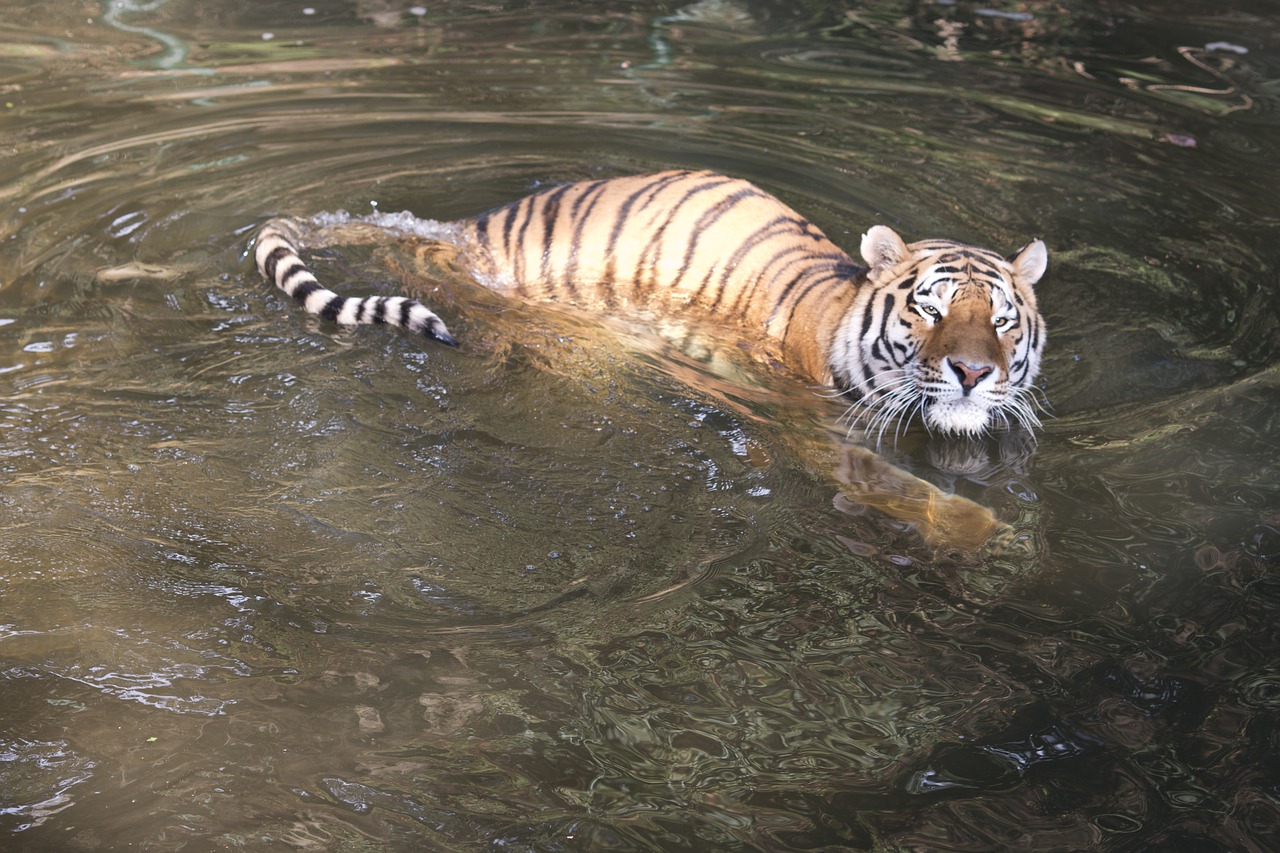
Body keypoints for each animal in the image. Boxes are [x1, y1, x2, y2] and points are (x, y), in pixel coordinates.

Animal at [252, 169, 1049, 548]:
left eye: (1001, 321)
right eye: (931, 311)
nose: (972, 373)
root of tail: (468, 227)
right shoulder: (817, 431)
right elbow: (904, 486)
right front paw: (995, 540)